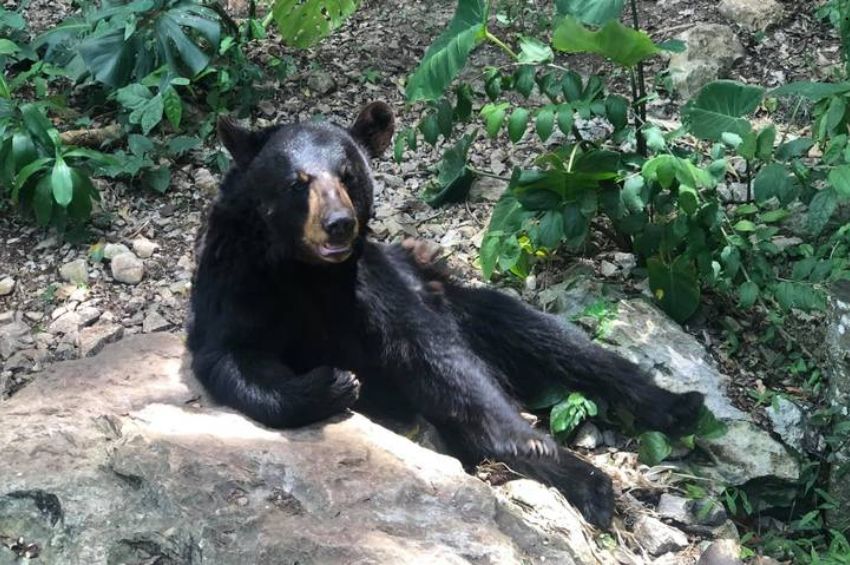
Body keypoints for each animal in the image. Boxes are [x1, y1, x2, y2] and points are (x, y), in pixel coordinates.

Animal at [187, 100, 704, 524]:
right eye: (298, 182)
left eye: (348, 175)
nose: (339, 225)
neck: (307, 271)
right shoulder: (236, 279)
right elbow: (231, 356)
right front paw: (330, 383)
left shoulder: (369, 282)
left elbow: (431, 352)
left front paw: (534, 441)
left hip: (469, 306)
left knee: (553, 340)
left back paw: (670, 409)